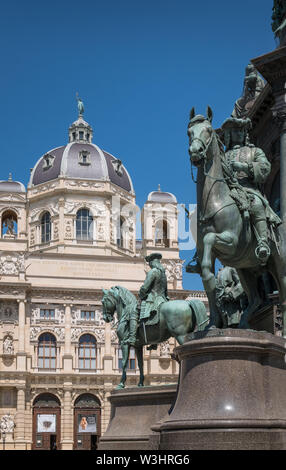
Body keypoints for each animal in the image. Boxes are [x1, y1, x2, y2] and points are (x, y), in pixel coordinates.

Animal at [187, 106, 286, 334]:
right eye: (189, 132)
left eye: (207, 130)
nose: (195, 152)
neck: (215, 200)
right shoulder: (208, 252)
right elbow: (206, 276)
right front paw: (213, 323)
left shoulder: (230, 241)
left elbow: (210, 241)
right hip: (246, 270)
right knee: (256, 298)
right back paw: (243, 326)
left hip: (280, 265)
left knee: (283, 300)